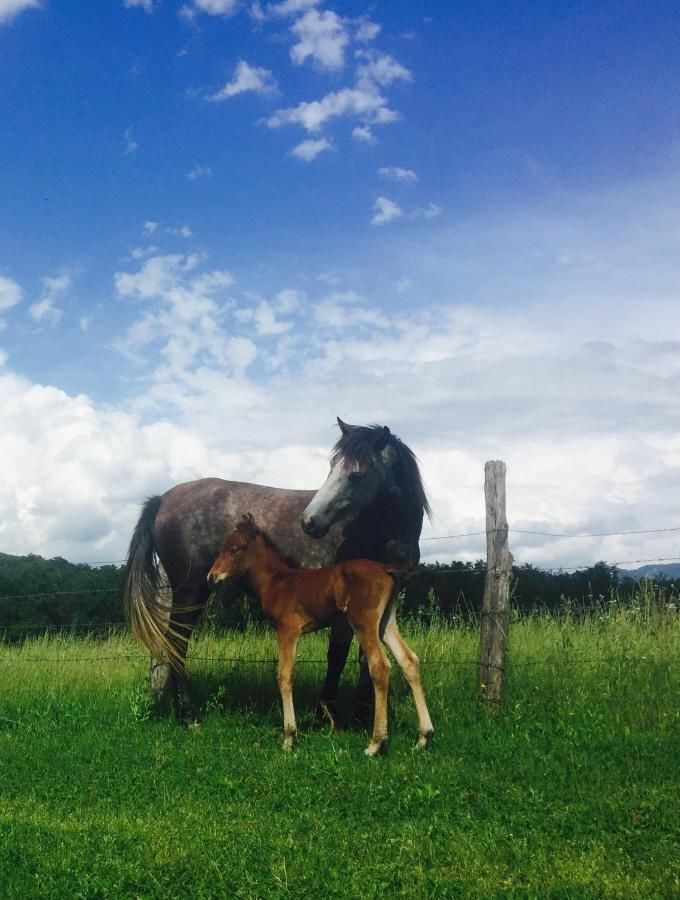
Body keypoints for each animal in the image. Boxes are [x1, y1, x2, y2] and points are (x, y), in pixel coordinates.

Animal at [122, 420, 430, 724]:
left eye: (356, 475)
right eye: (332, 466)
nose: (309, 522)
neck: (379, 532)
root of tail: (161, 499)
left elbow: (365, 657)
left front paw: (362, 714)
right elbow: (338, 655)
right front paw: (325, 715)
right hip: (190, 591)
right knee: (176, 643)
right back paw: (188, 715)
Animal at [206, 516, 436, 756]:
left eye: (234, 549)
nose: (211, 576)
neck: (276, 581)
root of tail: (386, 568)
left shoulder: (288, 630)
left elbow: (284, 676)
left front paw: (289, 738)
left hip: (363, 621)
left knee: (380, 666)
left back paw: (376, 743)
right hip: (386, 623)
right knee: (408, 660)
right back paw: (424, 737)